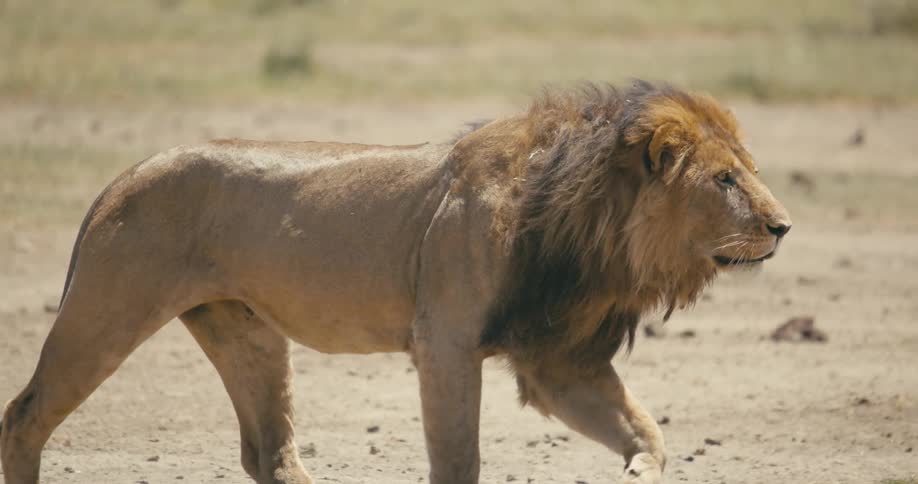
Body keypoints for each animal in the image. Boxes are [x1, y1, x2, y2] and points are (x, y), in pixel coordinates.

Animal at [1, 81, 791, 484]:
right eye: (726, 180)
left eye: (749, 170)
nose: (783, 226)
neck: (588, 227)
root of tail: (123, 174)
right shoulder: (444, 342)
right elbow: (458, 457)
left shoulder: (557, 357)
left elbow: (642, 428)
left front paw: (642, 469)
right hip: (107, 310)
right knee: (25, 415)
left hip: (244, 331)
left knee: (269, 451)